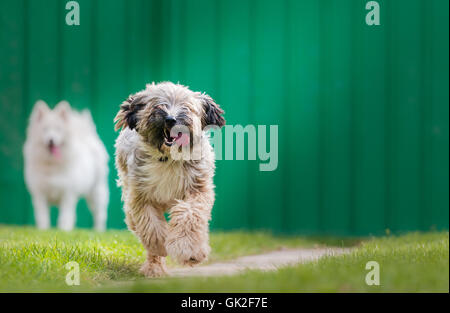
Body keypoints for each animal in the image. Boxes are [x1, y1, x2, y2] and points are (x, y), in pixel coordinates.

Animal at [24, 98, 110, 230]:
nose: (51, 140)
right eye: (45, 129)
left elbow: (65, 216)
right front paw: (43, 230)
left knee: (100, 214)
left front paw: (64, 230)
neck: (52, 164)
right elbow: (42, 216)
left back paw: (98, 230)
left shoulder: (68, 194)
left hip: (96, 192)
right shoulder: (39, 195)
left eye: (58, 129)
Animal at [113, 81, 224, 276]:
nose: (170, 119)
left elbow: (189, 215)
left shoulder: (197, 190)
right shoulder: (141, 196)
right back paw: (154, 268)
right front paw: (160, 246)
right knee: (137, 225)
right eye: (158, 104)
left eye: (186, 106)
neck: (169, 158)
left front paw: (189, 251)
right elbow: (151, 227)